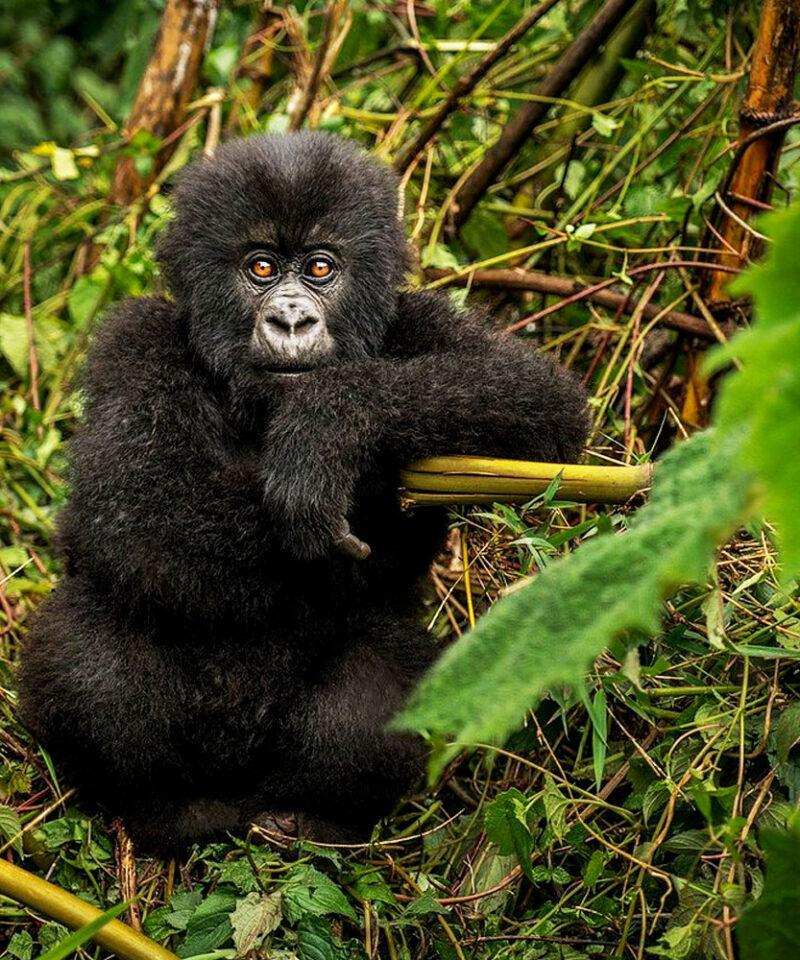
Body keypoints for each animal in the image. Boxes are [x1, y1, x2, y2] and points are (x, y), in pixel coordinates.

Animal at [19, 133, 589, 852]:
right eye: (261, 267)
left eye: (320, 268)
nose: (291, 318)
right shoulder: (134, 344)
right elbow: (137, 509)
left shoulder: (419, 319)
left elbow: (541, 408)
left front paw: (329, 430)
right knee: (86, 635)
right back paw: (164, 809)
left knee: (387, 662)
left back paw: (314, 815)